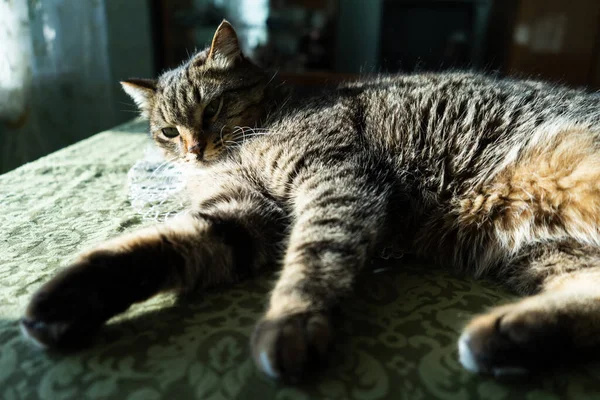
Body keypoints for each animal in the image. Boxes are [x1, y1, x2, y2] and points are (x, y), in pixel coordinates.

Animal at [18, 21, 600, 382]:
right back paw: (511, 337)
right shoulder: (241, 216)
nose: (194, 148)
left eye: (213, 108)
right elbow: (156, 246)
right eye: (167, 131)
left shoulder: (336, 179)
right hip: (547, 251)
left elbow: (314, 257)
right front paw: (67, 299)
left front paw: (293, 323)